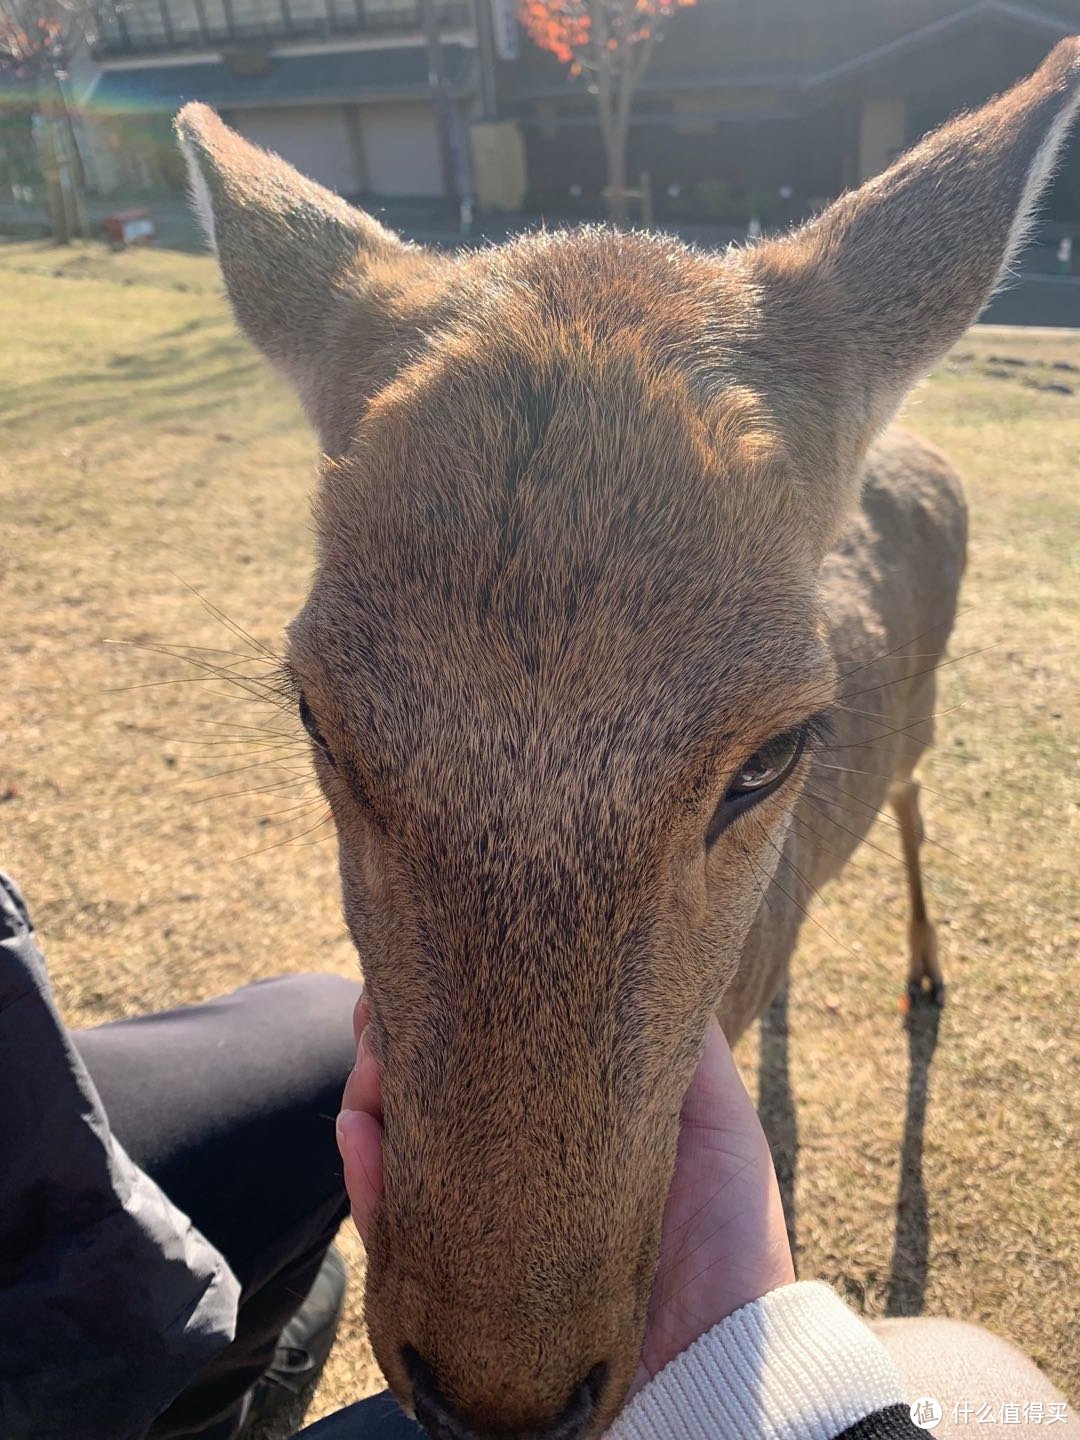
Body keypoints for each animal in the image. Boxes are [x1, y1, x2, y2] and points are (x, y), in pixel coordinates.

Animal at [177, 42, 1080, 1440]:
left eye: (773, 751)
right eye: (320, 717)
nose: (499, 1394)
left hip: (931, 715)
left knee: (919, 802)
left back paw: (928, 975)